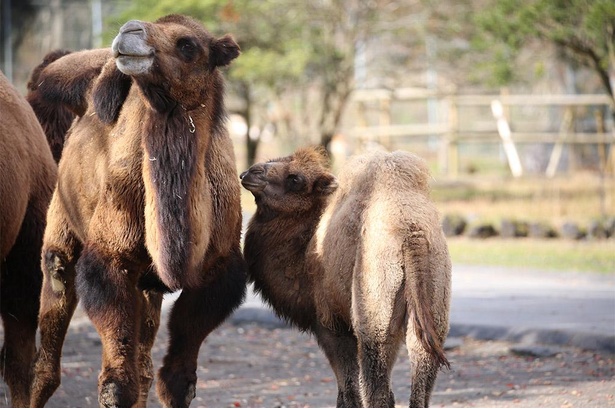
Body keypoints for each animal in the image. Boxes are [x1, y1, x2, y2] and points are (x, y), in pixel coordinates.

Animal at [242, 146, 452, 404]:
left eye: (295, 179)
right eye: (275, 160)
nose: (251, 172)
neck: (305, 253)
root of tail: (411, 233)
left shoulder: (330, 323)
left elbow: (348, 389)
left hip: (373, 309)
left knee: (377, 386)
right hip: (434, 302)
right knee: (420, 373)